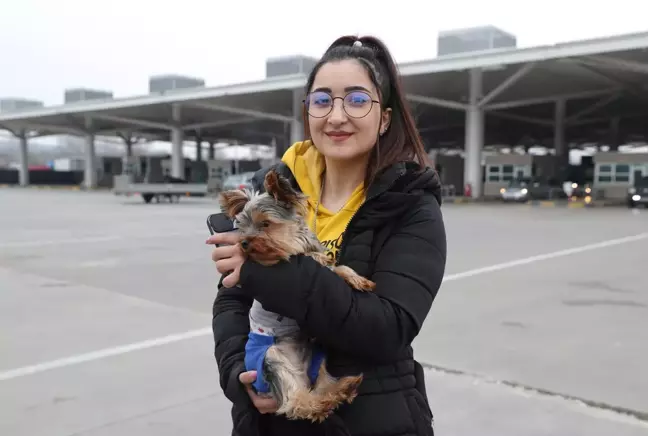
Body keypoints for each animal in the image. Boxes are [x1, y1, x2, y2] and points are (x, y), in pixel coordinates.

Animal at [219, 169, 374, 420]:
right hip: (272, 360)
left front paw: (359, 280)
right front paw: (320, 260)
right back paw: (322, 404)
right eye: (242, 228)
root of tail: (299, 368)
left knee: (320, 385)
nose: (243, 243)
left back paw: (342, 389)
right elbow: (317, 262)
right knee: (295, 402)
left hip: (317, 359)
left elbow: (339, 268)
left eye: (265, 224)